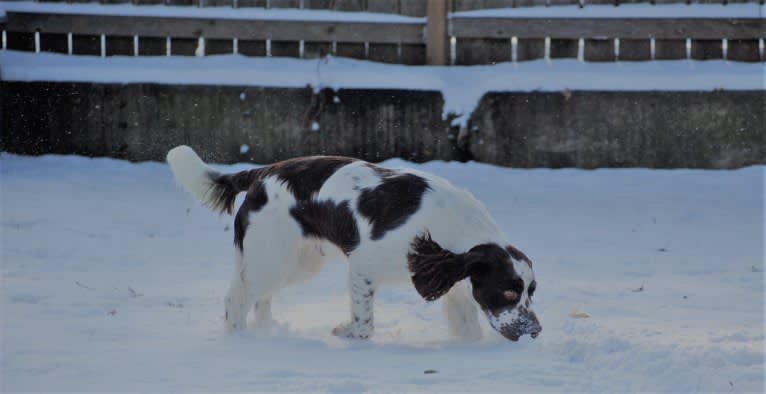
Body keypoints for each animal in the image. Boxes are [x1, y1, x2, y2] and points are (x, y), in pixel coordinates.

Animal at [168, 145, 540, 342]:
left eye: (530, 293)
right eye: (508, 292)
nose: (534, 331)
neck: (455, 229)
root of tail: (261, 173)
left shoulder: (454, 286)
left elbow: (468, 328)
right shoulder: (363, 267)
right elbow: (364, 325)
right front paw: (344, 331)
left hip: (297, 262)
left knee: (259, 299)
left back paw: (267, 332)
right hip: (270, 259)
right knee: (236, 299)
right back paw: (241, 341)